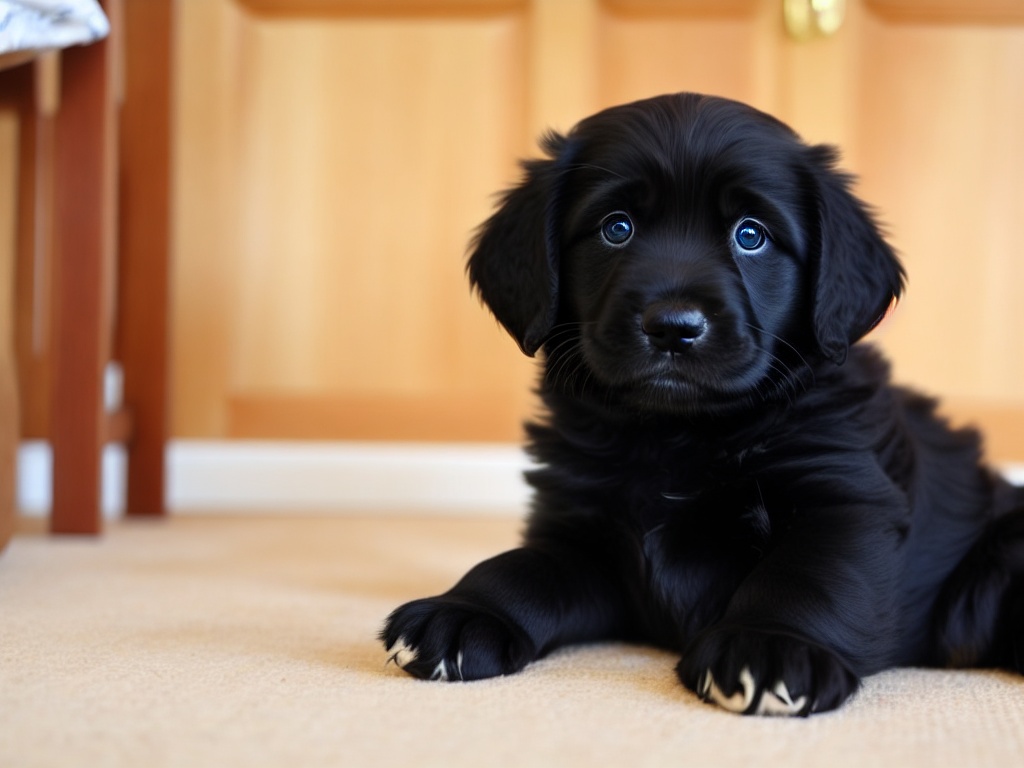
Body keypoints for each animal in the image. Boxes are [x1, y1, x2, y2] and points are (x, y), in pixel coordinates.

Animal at [385, 94, 1024, 716]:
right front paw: (468, 612)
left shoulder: (843, 498)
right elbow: (521, 567)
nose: (672, 327)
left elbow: (806, 577)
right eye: (616, 228)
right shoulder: (582, 531)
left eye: (751, 234)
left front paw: (770, 645)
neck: (677, 434)